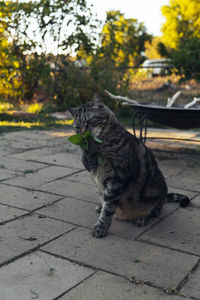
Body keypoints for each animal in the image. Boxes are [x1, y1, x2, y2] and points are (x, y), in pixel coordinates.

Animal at [69, 94, 189, 239]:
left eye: (90, 120)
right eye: (77, 127)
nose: (83, 133)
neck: (100, 148)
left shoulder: (116, 179)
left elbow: (108, 209)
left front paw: (101, 227)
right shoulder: (92, 166)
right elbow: (87, 156)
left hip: (157, 188)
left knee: (156, 210)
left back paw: (142, 217)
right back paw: (101, 206)